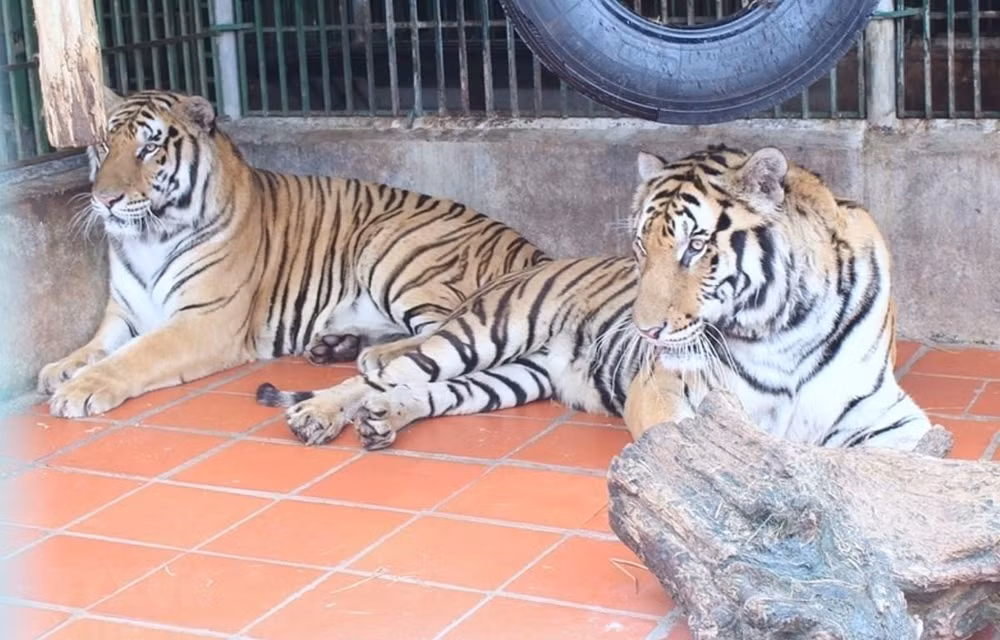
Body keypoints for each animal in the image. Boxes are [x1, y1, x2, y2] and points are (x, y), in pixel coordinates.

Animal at [36, 88, 548, 418]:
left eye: (149, 148)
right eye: (105, 146)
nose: (105, 200)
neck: (148, 238)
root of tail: (534, 251)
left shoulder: (205, 320)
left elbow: (134, 356)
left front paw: (81, 389)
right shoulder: (124, 313)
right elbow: (96, 346)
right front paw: (59, 370)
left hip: (392, 248)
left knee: (448, 330)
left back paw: (374, 356)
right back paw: (336, 345)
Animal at [259, 144, 934, 453]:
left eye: (695, 247)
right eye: (641, 248)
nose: (647, 333)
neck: (783, 327)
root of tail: (526, 265)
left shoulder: (889, 414)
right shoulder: (669, 392)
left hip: (511, 379)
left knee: (423, 391)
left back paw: (382, 420)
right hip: (482, 332)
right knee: (384, 371)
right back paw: (318, 414)